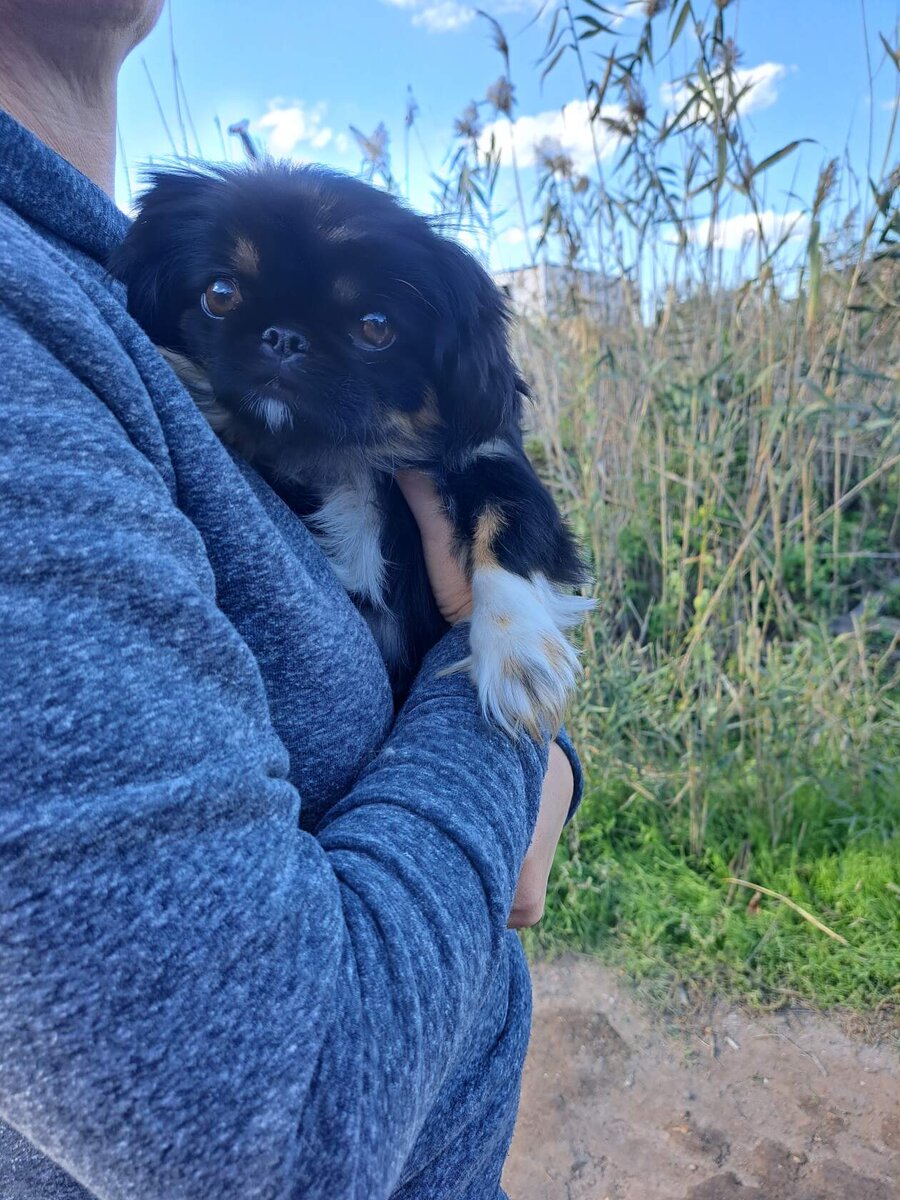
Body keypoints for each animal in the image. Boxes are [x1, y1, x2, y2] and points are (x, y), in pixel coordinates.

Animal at [111, 163, 592, 734]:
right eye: (221, 294)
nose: (284, 336)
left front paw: (518, 653)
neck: (352, 460)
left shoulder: (493, 461)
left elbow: (508, 532)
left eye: (376, 327)